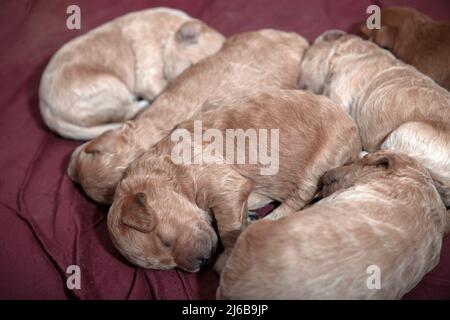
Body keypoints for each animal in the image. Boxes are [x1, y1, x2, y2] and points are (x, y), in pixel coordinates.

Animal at [39, 7, 225, 140]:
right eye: (191, 67)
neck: (169, 33)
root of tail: (45, 109)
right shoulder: (148, 75)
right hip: (112, 87)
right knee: (125, 111)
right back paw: (142, 104)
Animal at [106, 89, 362, 272]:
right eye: (169, 265)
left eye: (165, 241)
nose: (201, 264)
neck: (170, 174)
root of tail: (357, 141)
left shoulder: (224, 185)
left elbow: (228, 228)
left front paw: (227, 257)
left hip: (321, 161)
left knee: (299, 198)